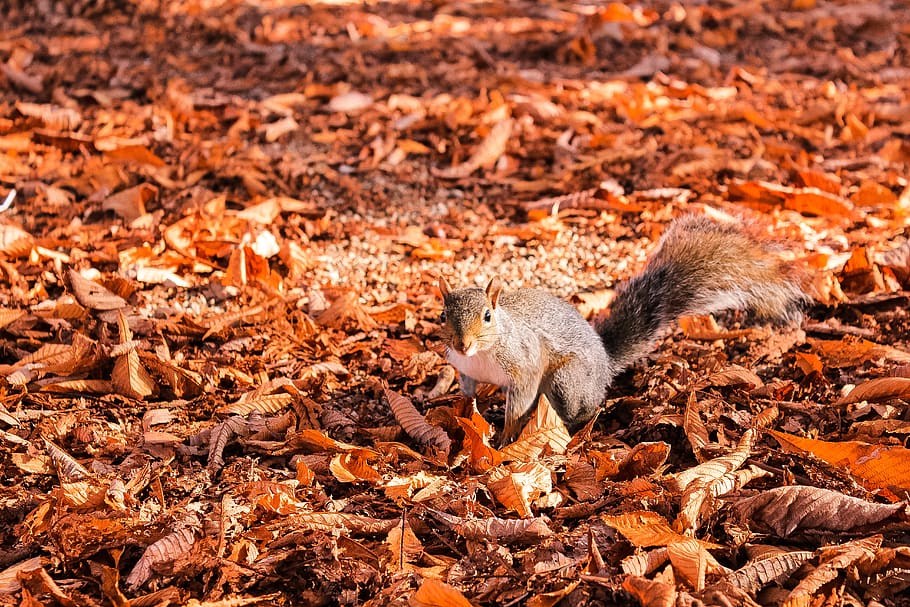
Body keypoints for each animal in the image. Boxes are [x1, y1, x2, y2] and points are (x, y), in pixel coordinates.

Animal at [438, 215, 808, 444]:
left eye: (488, 316)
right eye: (443, 315)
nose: (463, 344)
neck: (484, 353)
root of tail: (605, 365)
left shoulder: (524, 364)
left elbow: (519, 403)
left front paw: (506, 436)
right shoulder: (465, 370)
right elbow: (468, 395)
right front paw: (462, 412)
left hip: (567, 381)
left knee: (580, 410)